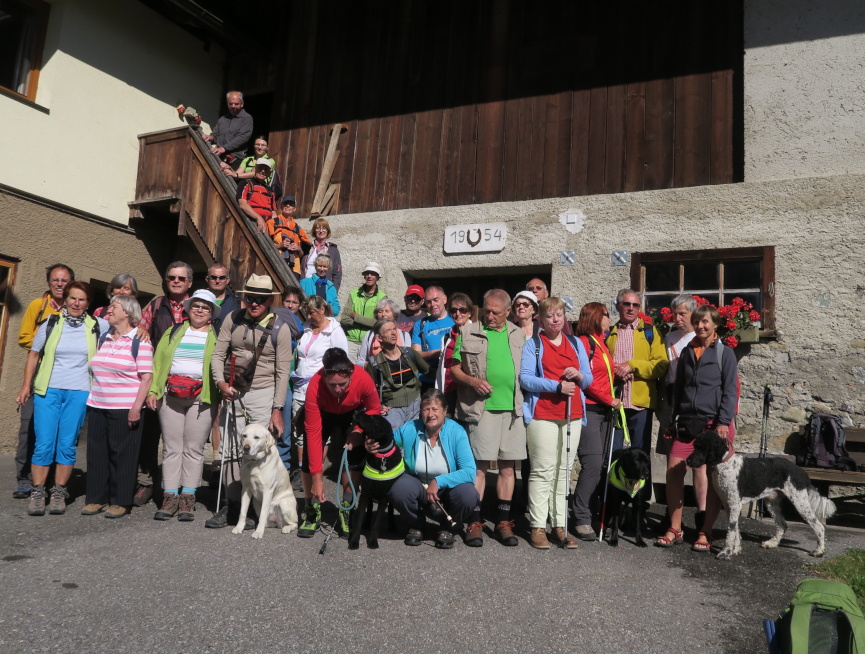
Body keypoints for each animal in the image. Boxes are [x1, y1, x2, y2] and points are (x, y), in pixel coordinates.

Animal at [348, 412, 404, 552]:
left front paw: (373, 541)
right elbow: (359, 519)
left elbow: (377, 523)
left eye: (373, 418)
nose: (355, 412)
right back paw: (367, 523)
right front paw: (354, 541)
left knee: (390, 510)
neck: (381, 456)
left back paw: (392, 526)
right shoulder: (365, 493)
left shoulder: (384, 497)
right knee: (369, 509)